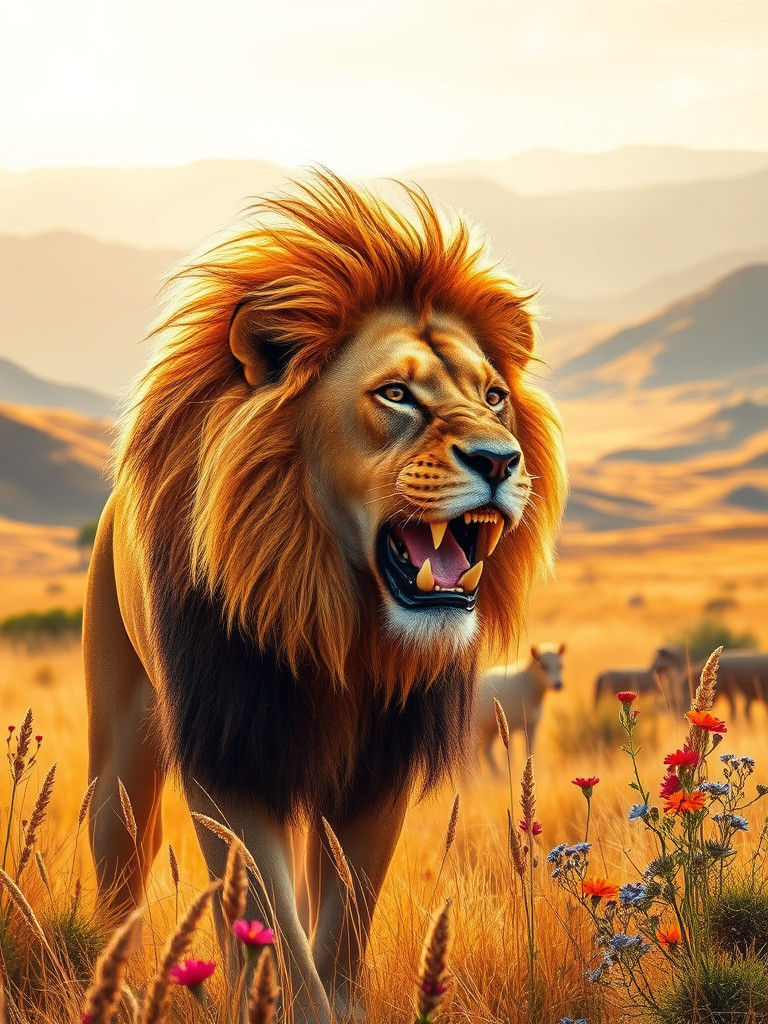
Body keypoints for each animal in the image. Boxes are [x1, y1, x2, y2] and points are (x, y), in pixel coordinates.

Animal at [84, 171, 566, 1020]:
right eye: (397, 394)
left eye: (494, 396)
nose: (501, 460)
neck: (335, 624)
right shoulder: (231, 753)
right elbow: (268, 928)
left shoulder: (378, 768)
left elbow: (340, 927)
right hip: (120, 753)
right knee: (119, 869)